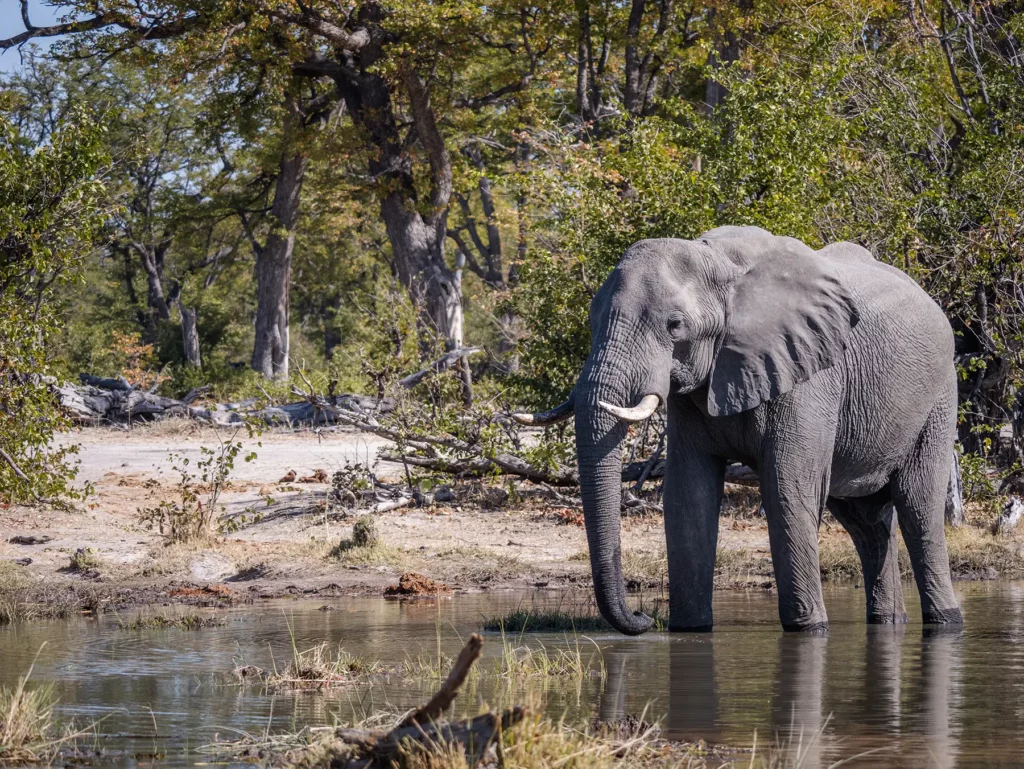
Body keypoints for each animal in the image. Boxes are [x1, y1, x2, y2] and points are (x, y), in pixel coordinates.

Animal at [514, 226, 963, 635]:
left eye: (675, 325)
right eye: (591, 321)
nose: (642, 617)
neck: (717, 262)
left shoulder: (810, 374)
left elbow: (787, 488)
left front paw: (809, 629)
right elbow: (688, 495)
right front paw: (689, 629)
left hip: (939, 396)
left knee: (918, 506)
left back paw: (946, 623)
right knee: (866, 522)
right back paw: (889, 621)